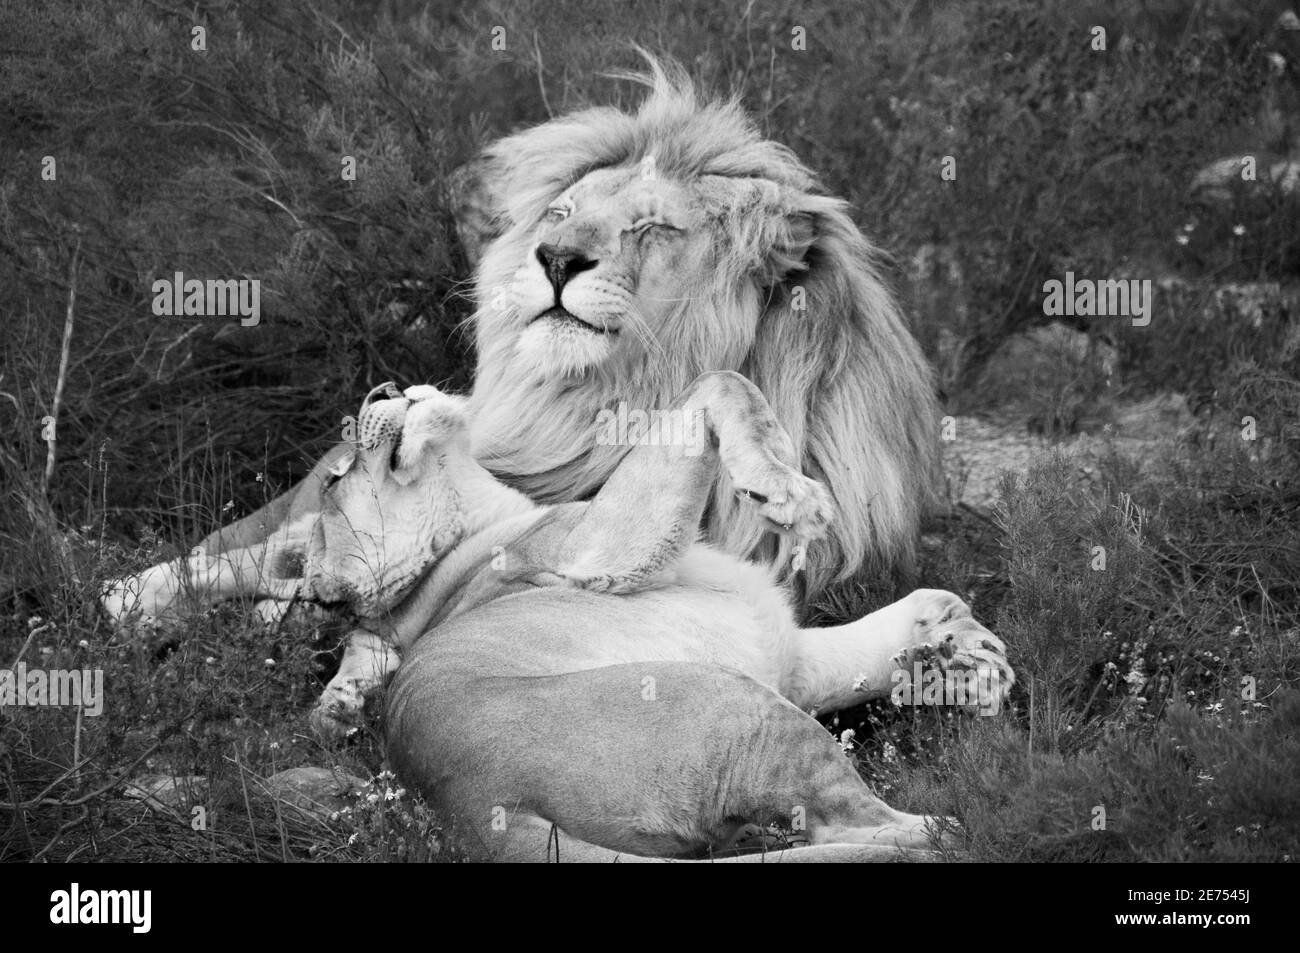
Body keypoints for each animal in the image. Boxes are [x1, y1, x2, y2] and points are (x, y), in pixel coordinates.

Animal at [101, 57, 935, 624]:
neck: (597, 408)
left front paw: (783, 489)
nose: (556, 258)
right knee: (239, 552)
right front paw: (784, 486)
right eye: (561, 214)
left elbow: (730, 384)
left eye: (654, 226)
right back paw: (133, 596)